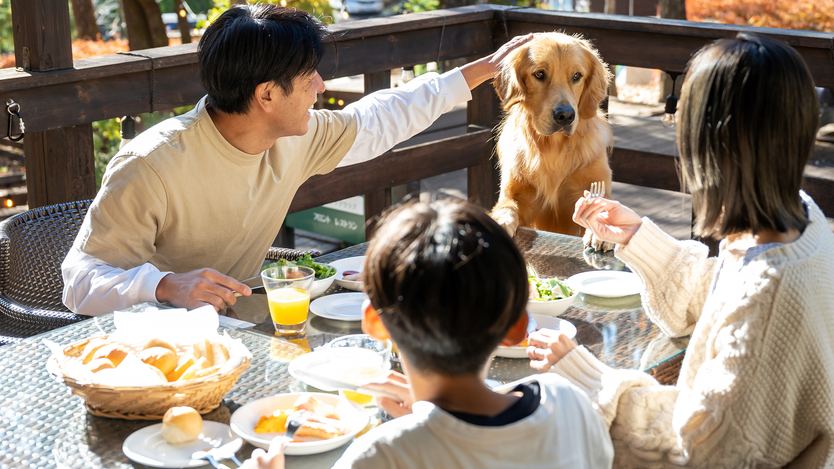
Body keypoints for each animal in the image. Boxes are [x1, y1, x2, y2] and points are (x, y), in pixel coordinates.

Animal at [488, 32, 612, 250]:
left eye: (577, 76)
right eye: (539, 74)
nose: (565, 116)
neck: (554, 147)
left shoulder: (595, 184)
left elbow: (604, 204)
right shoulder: (516, 194)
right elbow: (506, 208)